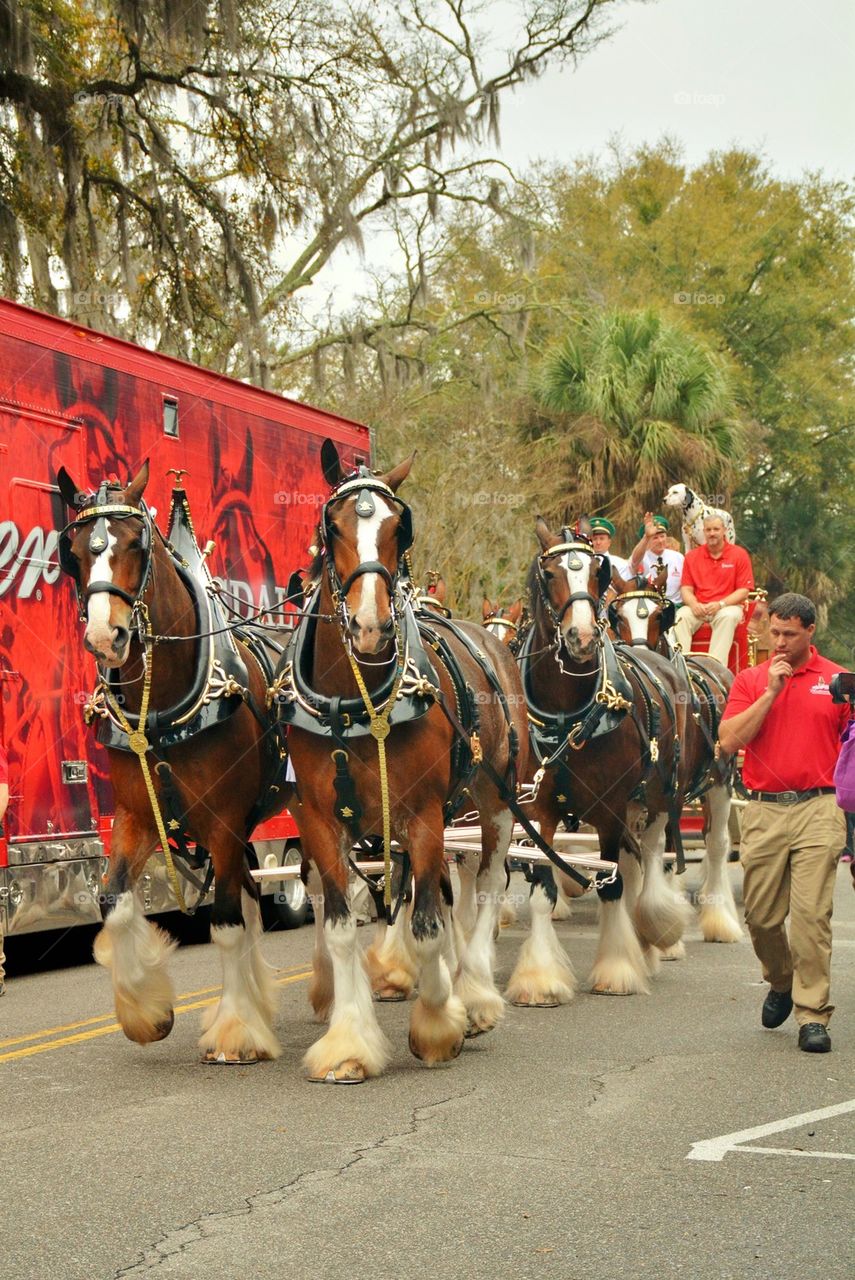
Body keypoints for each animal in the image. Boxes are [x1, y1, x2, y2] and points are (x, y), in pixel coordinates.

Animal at [55, 465, 286, 1064]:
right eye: (73, 553)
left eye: (135, 545)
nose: (105, 636)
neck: (164, 704)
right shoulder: (137, 816)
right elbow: (113, 900)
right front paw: (147, 1012)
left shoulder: (224, 822)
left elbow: (225, 922)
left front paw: (234, 1032)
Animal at [281, 440, 527, 1080]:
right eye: (333, 526)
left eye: (399, 527)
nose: (371, 627)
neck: (356, 699)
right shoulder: (320, 820)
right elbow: (344, 929)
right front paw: (348, 1043)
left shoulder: (422, 814)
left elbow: (425, 927)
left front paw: (441, 1022)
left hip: (495, 801)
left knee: (485, 884)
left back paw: (476, 995)